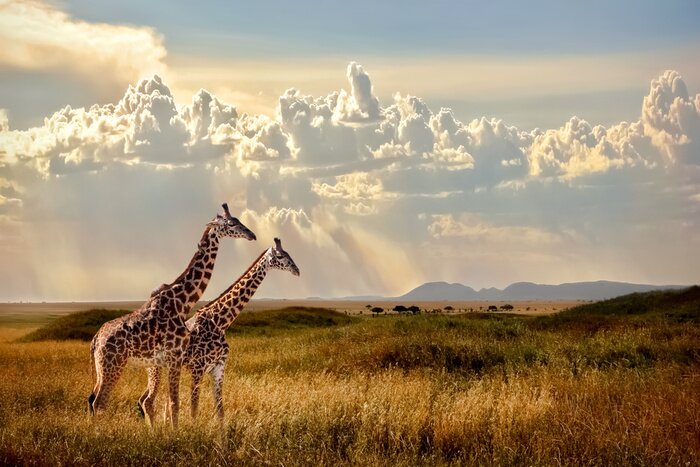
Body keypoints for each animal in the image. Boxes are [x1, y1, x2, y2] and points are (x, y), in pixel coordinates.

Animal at [88, 203, 256, 428]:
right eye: (230, 224)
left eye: (238, 220)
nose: (251, 234)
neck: (181, 303)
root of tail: (96, 339)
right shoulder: (175, 356)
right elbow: (175, 403)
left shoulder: (172, 360)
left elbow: (172, 402)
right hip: (113, 365)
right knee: (100, 402)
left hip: (103, 368)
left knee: (94, 399)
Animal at [137, 238, 299, 424]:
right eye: (280, 256)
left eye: (289, 253)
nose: (297, 270)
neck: (220, 322)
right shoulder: (198, 368)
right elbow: (194, 409)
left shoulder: (219, 367)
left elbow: (220, 410)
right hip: (154, 368)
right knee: (148, 401)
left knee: (153, 400)